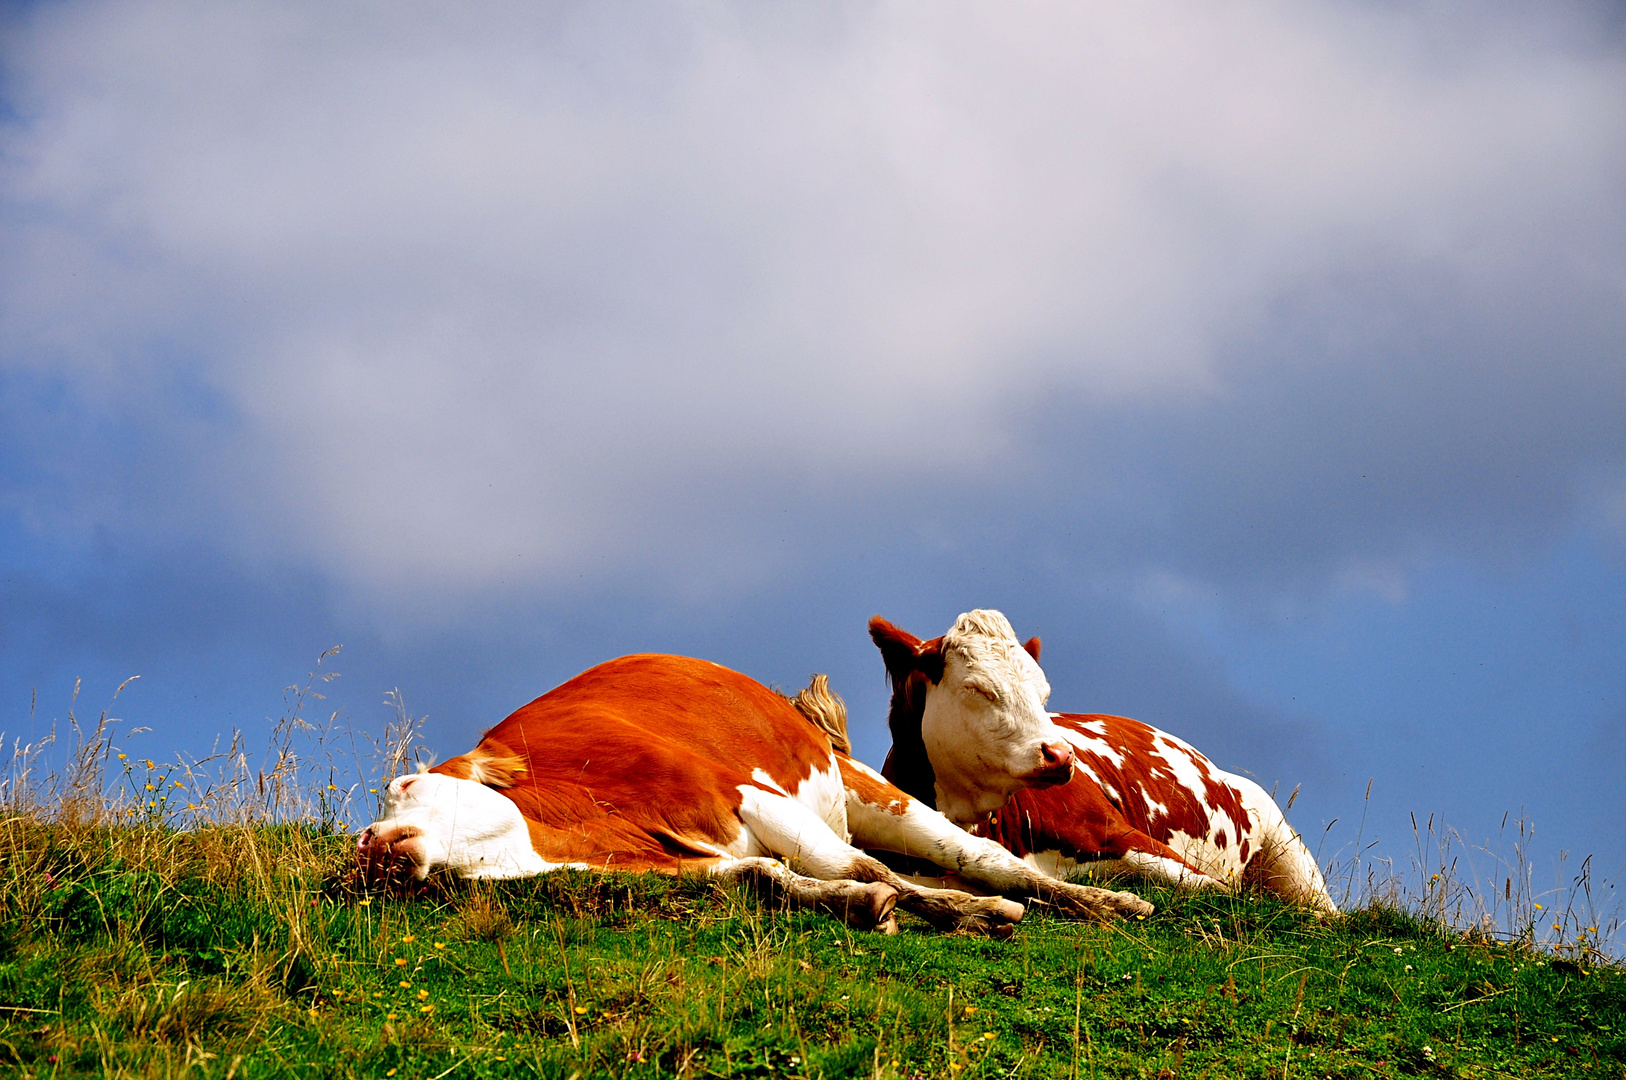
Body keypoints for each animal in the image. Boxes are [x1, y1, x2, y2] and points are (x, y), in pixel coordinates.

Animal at [359, 611, 1144, 930]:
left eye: (404, 784)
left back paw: (1103, 903)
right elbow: (769, 879)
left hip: (864, 790)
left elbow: (865, 869)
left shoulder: (748, 795)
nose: (369, 844)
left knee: (980, 856)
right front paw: (878, 906)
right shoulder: (680, 863)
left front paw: (968, 912)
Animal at [871, 608, 1339, 910]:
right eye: (977, 688)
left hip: (1292, 857)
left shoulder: (1127, 838)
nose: (1060, 754)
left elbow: (1210, 888)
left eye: (1044, 694)